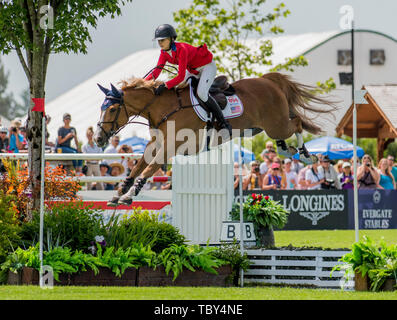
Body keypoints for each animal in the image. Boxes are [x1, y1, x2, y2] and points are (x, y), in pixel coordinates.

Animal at [94, 71, 336, 206]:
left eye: (112, 109)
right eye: (101, 108)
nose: (97, 139)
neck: (163, 108)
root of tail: (268, 81)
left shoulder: (170, 148)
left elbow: (147, 171)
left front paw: (127, 196)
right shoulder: (155, 146)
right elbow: (136, 168)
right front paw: (117, 195)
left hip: (277, 124)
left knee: (296, 123)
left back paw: (306, 156)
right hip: (262, 128)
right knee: (284, 138)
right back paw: (291, 151)